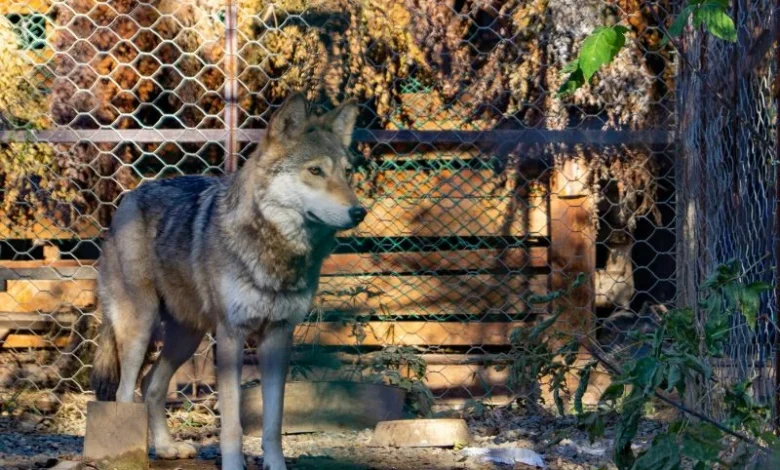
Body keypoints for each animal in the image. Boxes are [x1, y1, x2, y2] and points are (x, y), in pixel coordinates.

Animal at [90, 93, 366, 470]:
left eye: (347, 173)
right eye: (315, 171)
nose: (360, 212)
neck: (275, 253)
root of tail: (127, 199)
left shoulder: (278, 336)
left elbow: (273, 422)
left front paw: (275, 464)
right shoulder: (231, 335)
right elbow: (232, 422)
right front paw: (234, 464)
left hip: (186, 338)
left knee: (151, 386)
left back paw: (166, 448)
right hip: (140, 328)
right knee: (125, 392)